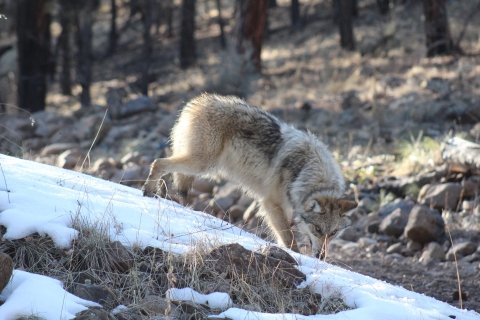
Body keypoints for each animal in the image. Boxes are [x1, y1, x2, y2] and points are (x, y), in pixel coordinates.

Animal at [142, 92, 356, 258]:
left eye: (333, 233)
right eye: (318, 229)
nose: (321, 257)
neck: (307, 172)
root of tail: (197, 102)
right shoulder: (271, 204)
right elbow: (288, 239)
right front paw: (296, 257)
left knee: (167, 168)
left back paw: (161, 195)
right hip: (203, 165)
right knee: (159, 162)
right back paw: (148, 192)